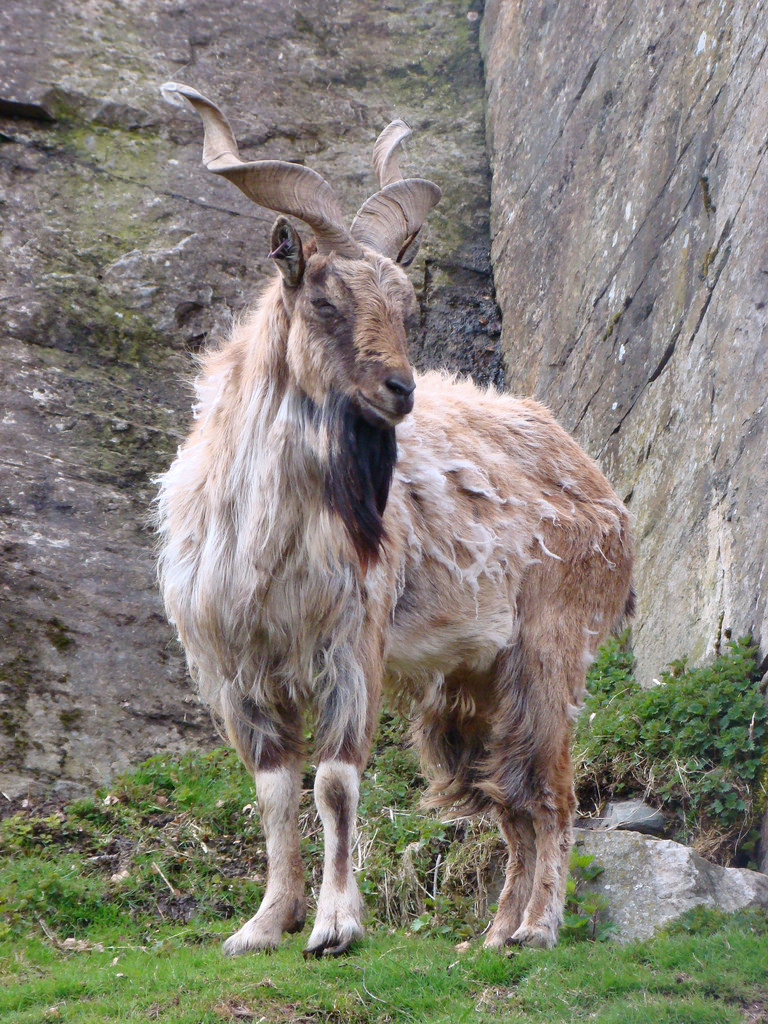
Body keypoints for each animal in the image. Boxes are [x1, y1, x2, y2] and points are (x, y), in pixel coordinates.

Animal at [153, 83, 634, 954]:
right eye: (323, 297)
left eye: (405, 303)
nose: (400, 389)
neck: (265, 536)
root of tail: (597, 482)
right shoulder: (236, 665)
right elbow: (274, 792)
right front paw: (264, 925)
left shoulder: (352, 644)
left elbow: (335, 783)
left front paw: (335, 926)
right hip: (470, 682)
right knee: (508, 798)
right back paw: (494, 935)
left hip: (549, 649)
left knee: (551, 789)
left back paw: (538, 929)